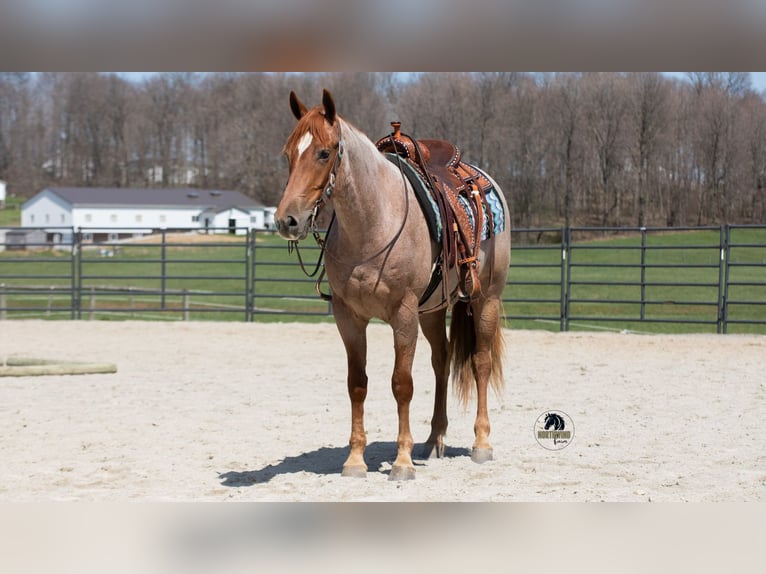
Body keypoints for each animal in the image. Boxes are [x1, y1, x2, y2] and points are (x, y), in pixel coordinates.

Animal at [274, 89, 511, 481]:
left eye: (324, 152)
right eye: (288, 153)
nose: (287, 220)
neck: (373, 223)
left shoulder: (403, 314)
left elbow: (402, 384)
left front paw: (401, 461)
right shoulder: (348, 317)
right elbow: (357, 383)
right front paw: (355, 460)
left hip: (485, 299)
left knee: (480, 362)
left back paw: (482, 443)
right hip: (432, 310)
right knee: (442, 360)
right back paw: (435, 440)